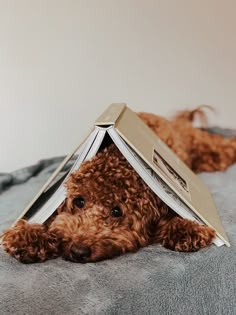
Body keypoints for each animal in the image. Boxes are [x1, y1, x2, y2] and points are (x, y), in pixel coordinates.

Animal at [1, 108, 236, 264]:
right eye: (79, 201)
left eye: (117, 211)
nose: (78, 251)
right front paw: (28, 237)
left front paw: (186, 229)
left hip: (207, 151)